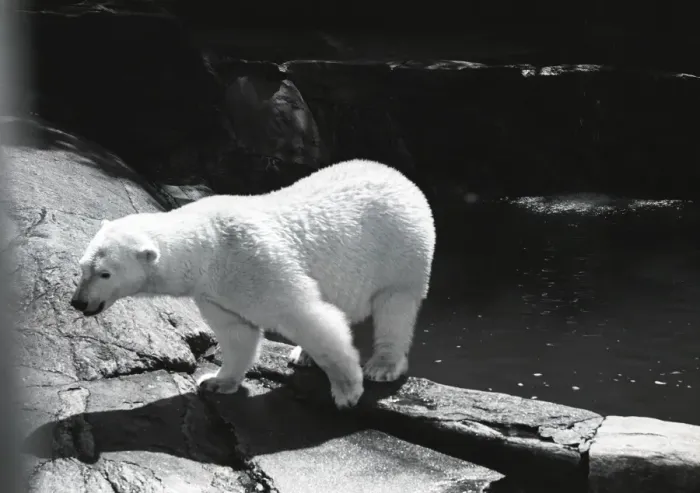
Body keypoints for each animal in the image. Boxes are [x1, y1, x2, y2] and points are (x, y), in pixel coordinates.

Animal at [70, 158, 436, 409]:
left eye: (105, 273)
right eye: (83, 267)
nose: (79, 302)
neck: (209, 246)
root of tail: (399, 176)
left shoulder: (255, 263)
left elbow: (304, 313)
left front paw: (347, 391)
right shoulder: (215, 291)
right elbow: (237, 333)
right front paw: (216, 381)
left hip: (399, 250)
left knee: (394, 307)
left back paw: (382, 365)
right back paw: (302, 355)